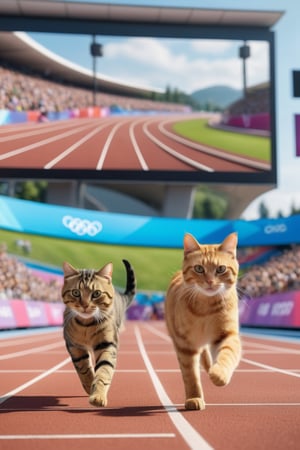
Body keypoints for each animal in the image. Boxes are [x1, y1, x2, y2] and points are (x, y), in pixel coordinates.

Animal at [61, 256, 136, 408]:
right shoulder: (74, 346)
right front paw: (89, 384)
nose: (85, 305)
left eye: (96, 294)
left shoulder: (107, 345)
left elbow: (103, 371)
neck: (86, 325)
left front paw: (97, 395)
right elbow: (83, 369)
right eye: (76, 292)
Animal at [164, 234, 241, 410]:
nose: (210, 282)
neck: (206, 307)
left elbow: (228, 354)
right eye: (199, 268)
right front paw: (194, 397)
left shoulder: (226, 334)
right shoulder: (185, 345)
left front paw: (219, 374)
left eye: (221, 269)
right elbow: (190, 375)